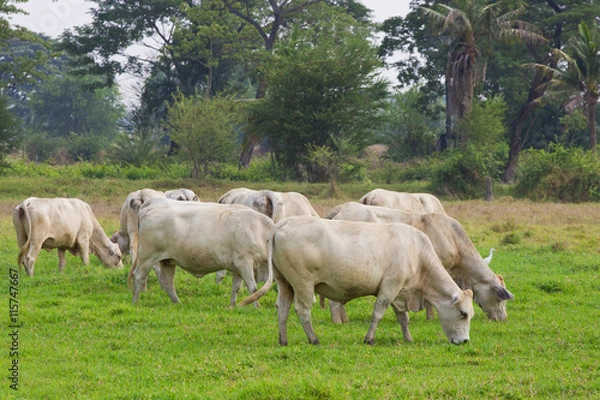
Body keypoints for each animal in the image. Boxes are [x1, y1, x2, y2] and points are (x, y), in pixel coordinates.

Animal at [130, 198, 276, 308]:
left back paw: (178, 303)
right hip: (147, 256)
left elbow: (236, 288)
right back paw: (135, 301)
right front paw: (257, 307)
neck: (258, 229)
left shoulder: (237, 267)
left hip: (167, 260)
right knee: (139, 275)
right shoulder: (244, 262)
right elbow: (253, 288)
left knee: (167, 282)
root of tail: (154, 201)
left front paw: (232, 306)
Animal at [239, 217, 474, 346]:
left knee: (283, 309)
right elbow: (378, 312)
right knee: (302, 310)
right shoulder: (389, 287)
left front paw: (408, 338)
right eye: (463, 314)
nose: (464, 341)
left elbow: (403, 318)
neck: (417, 252)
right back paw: (314, 339)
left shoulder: (400, 293)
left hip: (284, 283)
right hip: (302, 284)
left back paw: (284, 340)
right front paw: (369, 339)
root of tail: (284, 222)